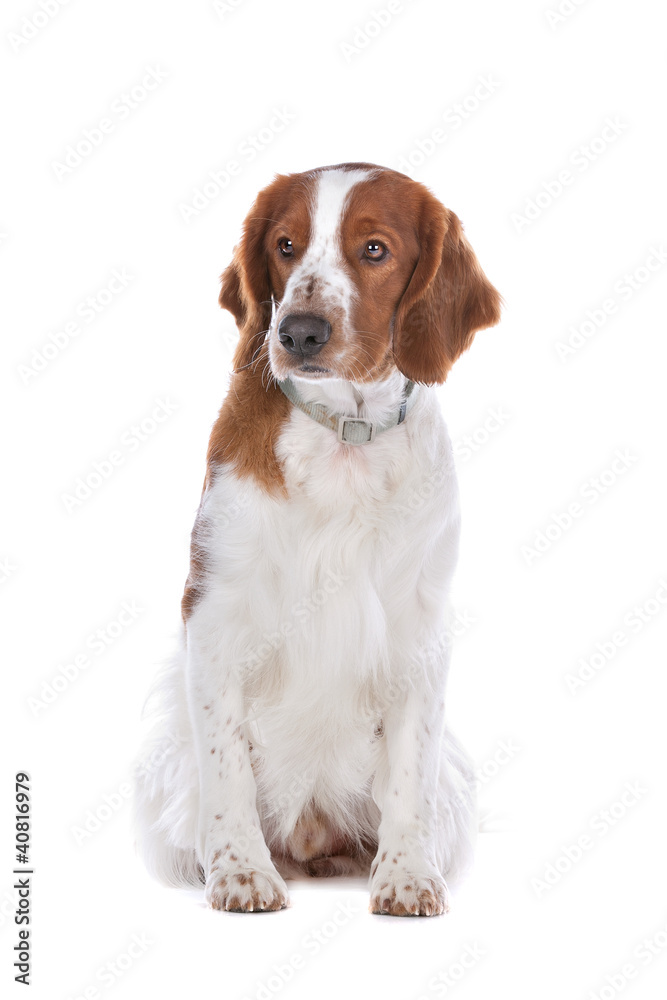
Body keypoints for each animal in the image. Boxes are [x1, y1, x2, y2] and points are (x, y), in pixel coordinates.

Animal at [136, 162, 500, 916]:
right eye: (284, 245)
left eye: (374, 249)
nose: (300, 332)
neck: (344, 438)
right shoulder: (215, 619)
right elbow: (228, 766)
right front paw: (241, 873)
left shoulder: (418, 632)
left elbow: (409, 773)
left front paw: (406, 877)